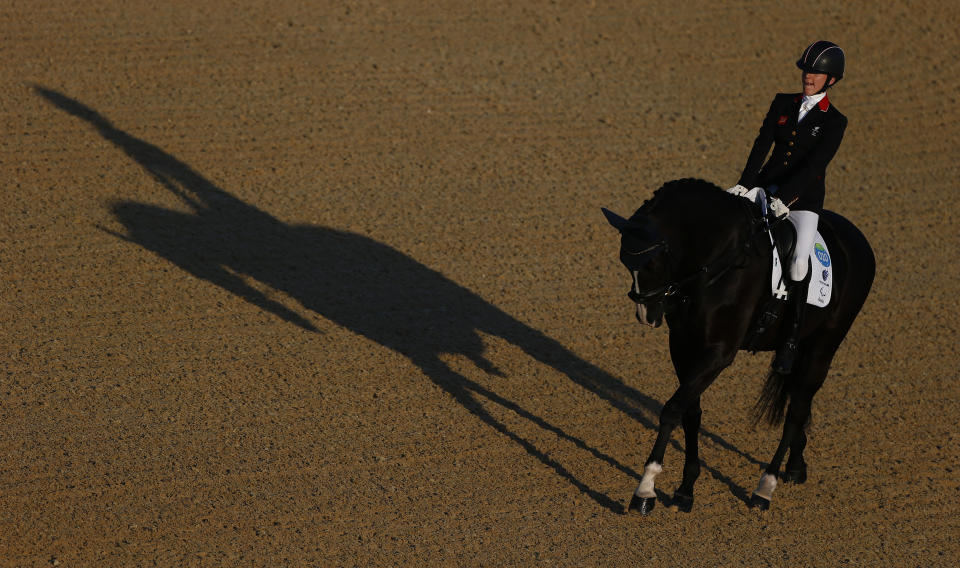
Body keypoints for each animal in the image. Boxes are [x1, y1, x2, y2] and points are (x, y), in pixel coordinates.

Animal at [604, 179, 872, 516]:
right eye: (625, 263)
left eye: (652, 262)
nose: (646, 315)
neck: (717, 261)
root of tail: (858, 239)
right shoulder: (683, 347)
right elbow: (690, 411)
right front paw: (686, 489)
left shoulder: (719, 352)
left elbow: (672, 409)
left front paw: (645, 490)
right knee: (799, 404)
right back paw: (796, 466)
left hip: (823, 347)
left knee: (796, 411)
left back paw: (764, 489)